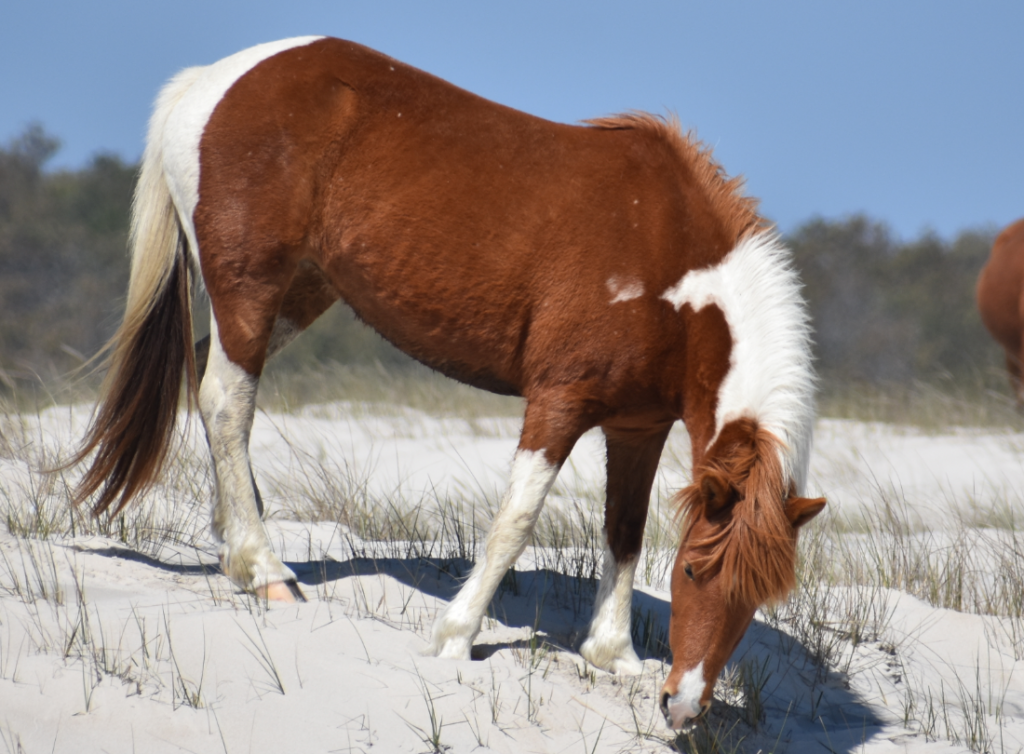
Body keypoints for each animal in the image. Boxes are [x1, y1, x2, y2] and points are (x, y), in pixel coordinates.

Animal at [70, 37, 825, 729]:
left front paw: (613, 655)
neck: (670, 263)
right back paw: (265, 570)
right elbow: (515, 522)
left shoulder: (637, 427)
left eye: (754, 599)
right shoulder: (560, 401)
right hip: (250, 290)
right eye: (695, 572)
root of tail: (215, 78)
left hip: (299, 293)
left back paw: (234, 542)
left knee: (211, 388)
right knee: (227, 403)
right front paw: (457, 636)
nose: (682, 707)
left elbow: (625, 533)